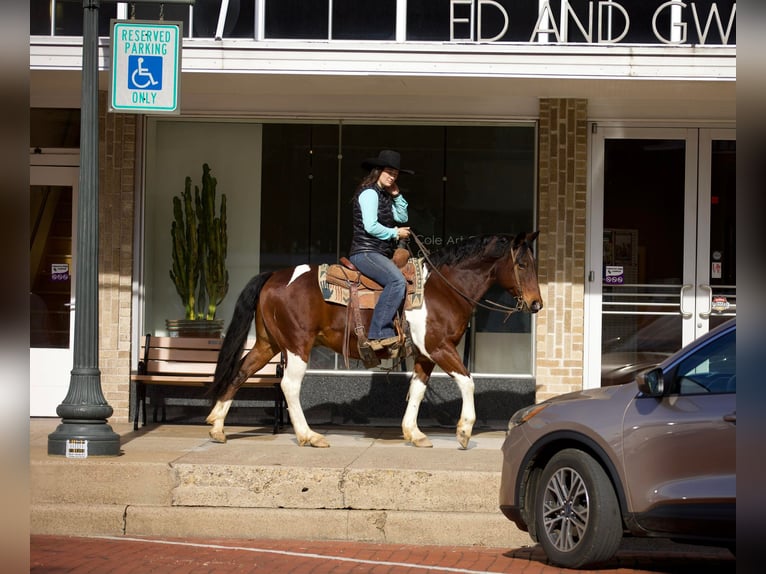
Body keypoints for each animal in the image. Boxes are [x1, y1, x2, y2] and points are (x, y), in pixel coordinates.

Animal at [204, 232, 540, 452]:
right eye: (522, 264)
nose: (537, 304)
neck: (443, 289)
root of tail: (274, 275)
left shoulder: (424, 355)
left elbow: (417, 390)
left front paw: (414, 433)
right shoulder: (438, 347)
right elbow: (468, 381)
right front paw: (464, 430)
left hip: (268, 344)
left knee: (241, 372)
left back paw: (218, 426)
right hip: (297, 345)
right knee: (289, 386)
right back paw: (309, 436)